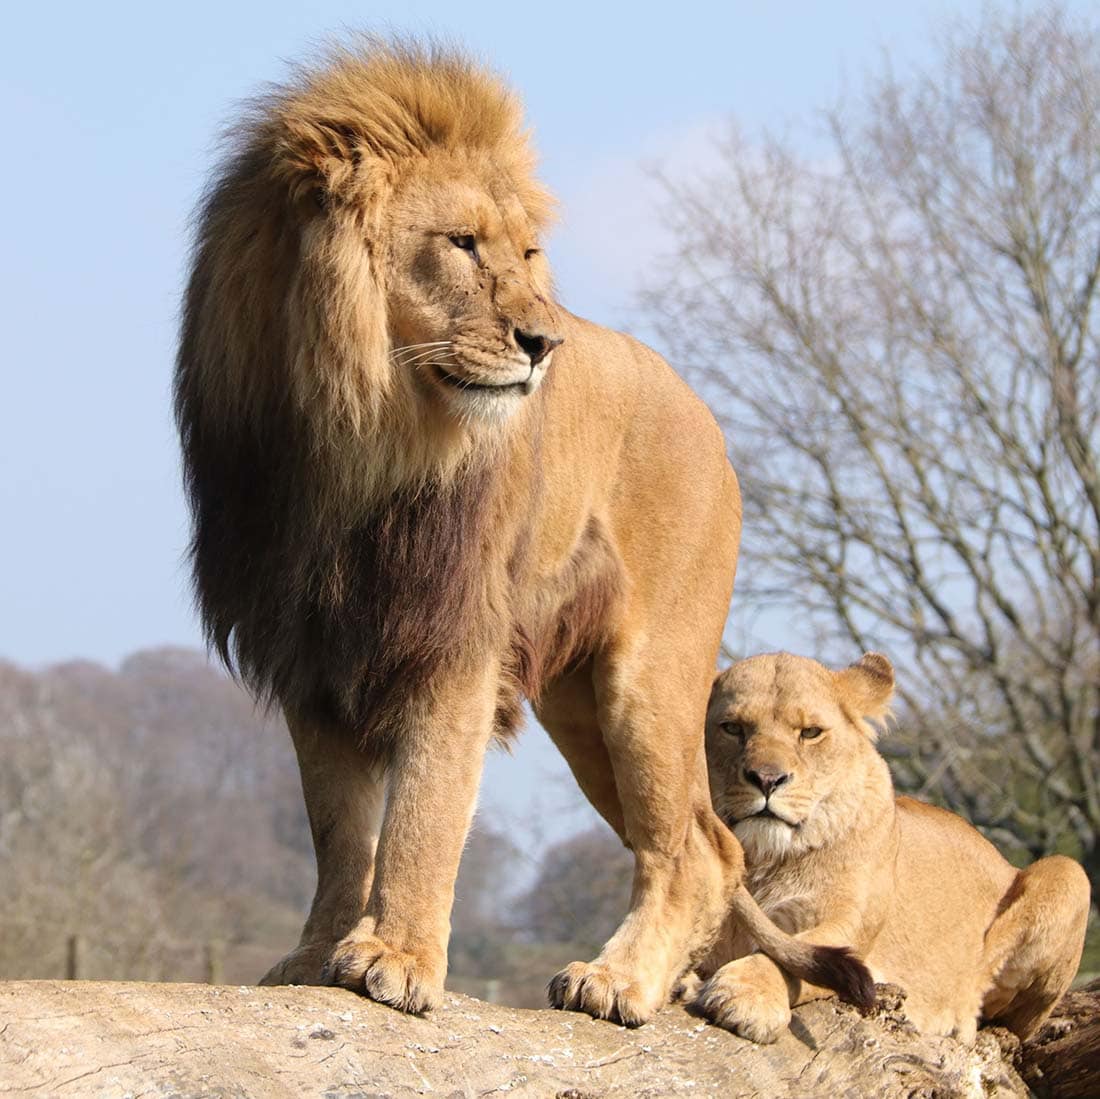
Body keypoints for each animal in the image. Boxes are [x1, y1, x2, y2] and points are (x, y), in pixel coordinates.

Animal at [176, 38, 871, 1025]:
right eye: (462, 243)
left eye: (530, 252)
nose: (545, 343)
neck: (358, 435)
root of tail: (705, 415)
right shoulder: (314, 650)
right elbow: (339, 831)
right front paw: (317, 954)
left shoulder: (453, 640)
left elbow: (425, 811)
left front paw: (395, 956)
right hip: (578, 710)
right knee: (709, 840)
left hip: (648, 680)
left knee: (695, 847)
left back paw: (621, 980)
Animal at [699, 655, 1086, 1042]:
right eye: (732, 728)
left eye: (810, 733)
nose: (767, 780)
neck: (762, 856)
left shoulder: (850, 925)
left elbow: (786, 957)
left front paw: (747, 994)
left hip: (1069, 873)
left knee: (1008, 1015)